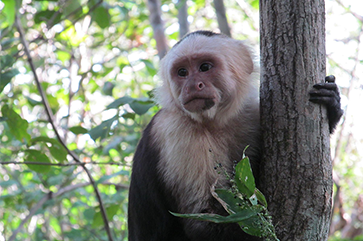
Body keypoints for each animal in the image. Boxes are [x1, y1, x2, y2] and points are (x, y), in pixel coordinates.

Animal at [128, 30, 344, 241]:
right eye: (182, 72)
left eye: (205, 67)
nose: (192, 85)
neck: (214, 122)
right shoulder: (176, 131)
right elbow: (203, 219)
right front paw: (266, 228)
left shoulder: (252, 113)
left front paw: (333, 106)